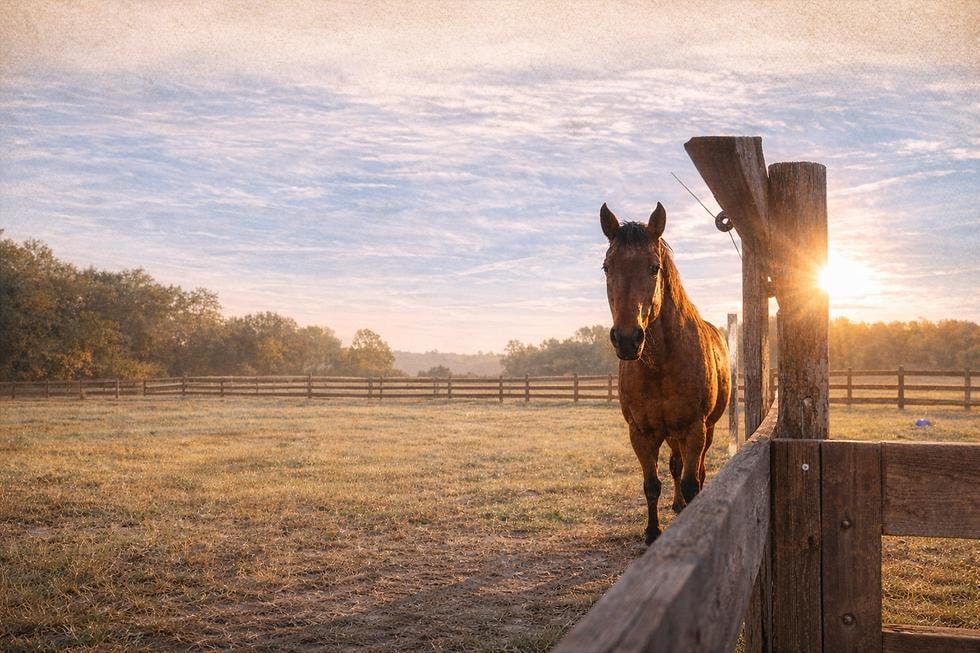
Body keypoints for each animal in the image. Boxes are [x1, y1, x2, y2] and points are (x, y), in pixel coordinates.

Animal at [599, 202, 731, 544]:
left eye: (654, 267)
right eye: (607, 267)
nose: (628, 339)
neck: (659, 365)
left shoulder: (695, 429)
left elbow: (692, 481)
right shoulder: (641, 433)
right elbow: (652, 484)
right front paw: (652, 532)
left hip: (705, 430)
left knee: (693, 470)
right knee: (674, 465)